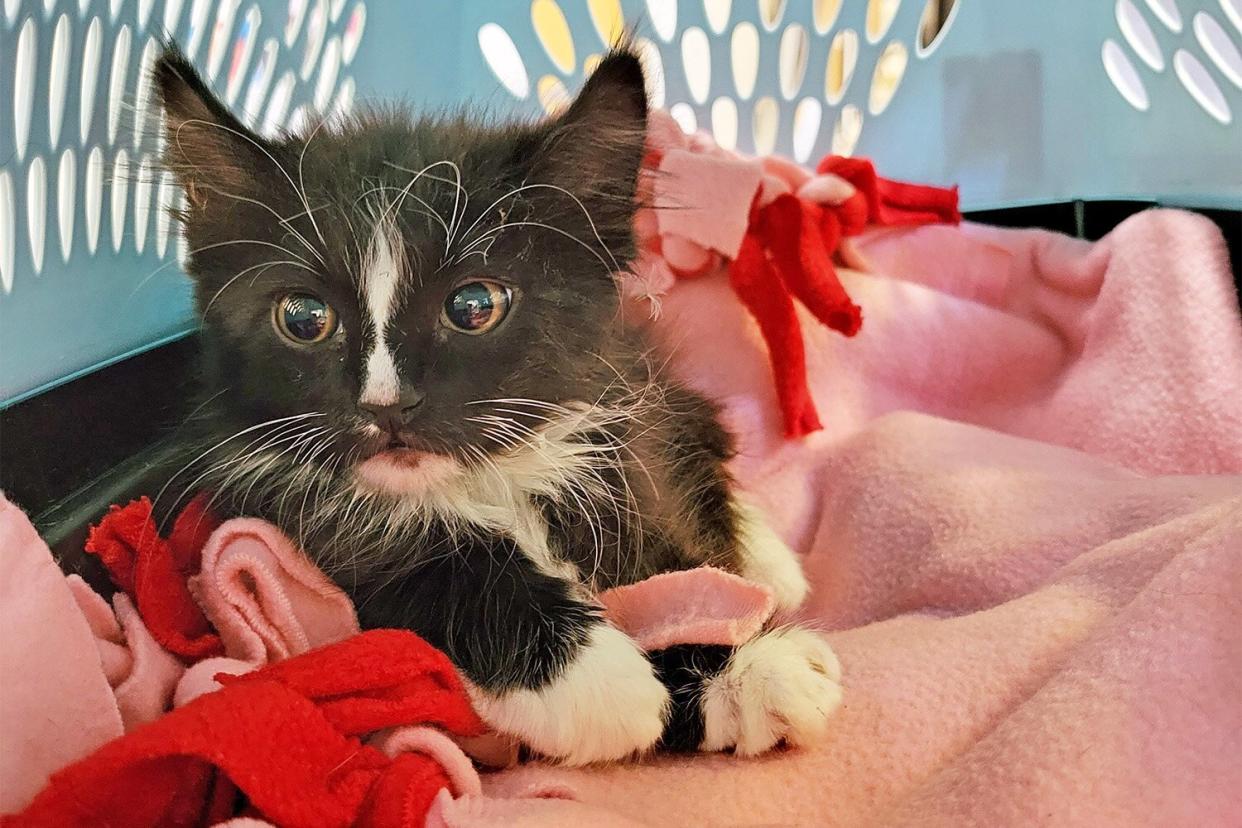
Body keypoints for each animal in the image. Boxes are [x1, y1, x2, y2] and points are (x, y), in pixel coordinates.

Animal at [150, 42, 839, 759]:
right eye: (304, 317)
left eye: (474, 305)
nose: (387, 404)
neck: (483, 481)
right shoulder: (276, 516)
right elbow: (412, 564)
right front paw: (600, 680)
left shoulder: (619, 436)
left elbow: (668, 557)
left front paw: (748, 666)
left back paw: (769, 559)